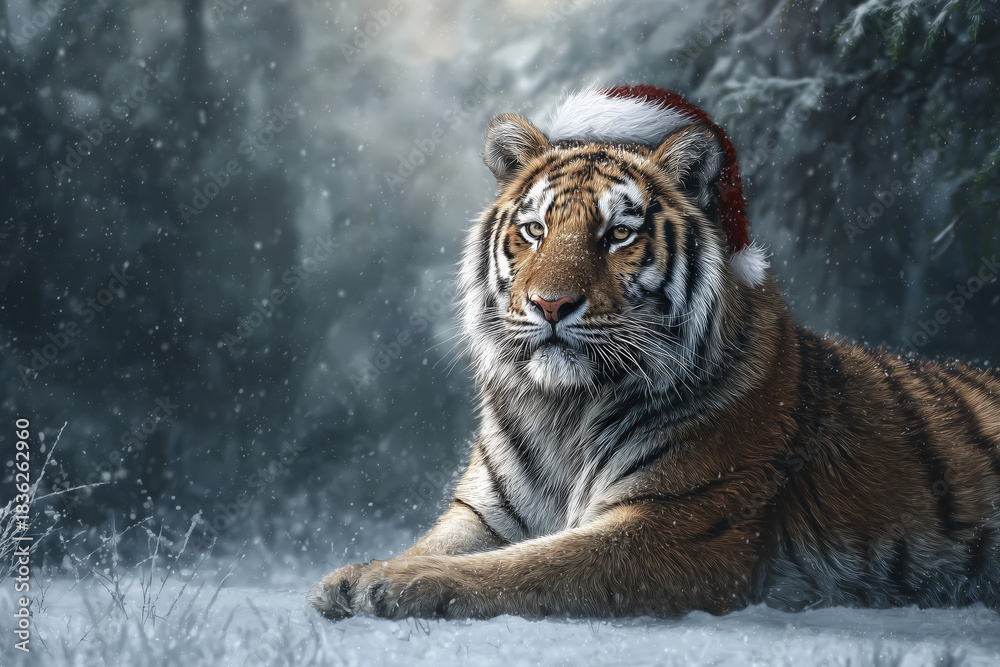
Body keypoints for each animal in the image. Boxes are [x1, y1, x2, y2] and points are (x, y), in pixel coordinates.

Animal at [308, 84, 1000, 620]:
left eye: (618, 233)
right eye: (534, 229)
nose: (550, 306)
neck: (566, 409)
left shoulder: (674, 523)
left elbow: (531, 566)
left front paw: (392, 582)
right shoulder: (484, 515)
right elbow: (437, 544)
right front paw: (350, 577)